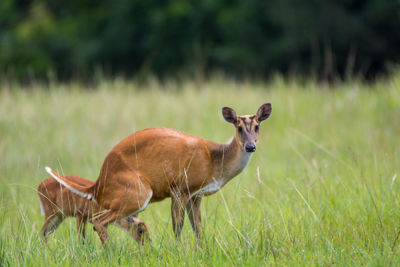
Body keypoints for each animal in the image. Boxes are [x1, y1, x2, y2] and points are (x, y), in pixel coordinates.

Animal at [45, 103, 272, 245]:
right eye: (239, 127)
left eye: (257, 126)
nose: (250, 146)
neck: (214, 162)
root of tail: (97, 184)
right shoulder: (180, 188)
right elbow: (178, 226)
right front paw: (178, 250)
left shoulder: (197, 195)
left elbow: (197, 227)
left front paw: (200, 250)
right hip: (137, 192)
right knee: (99, 220)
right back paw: (110, 252)